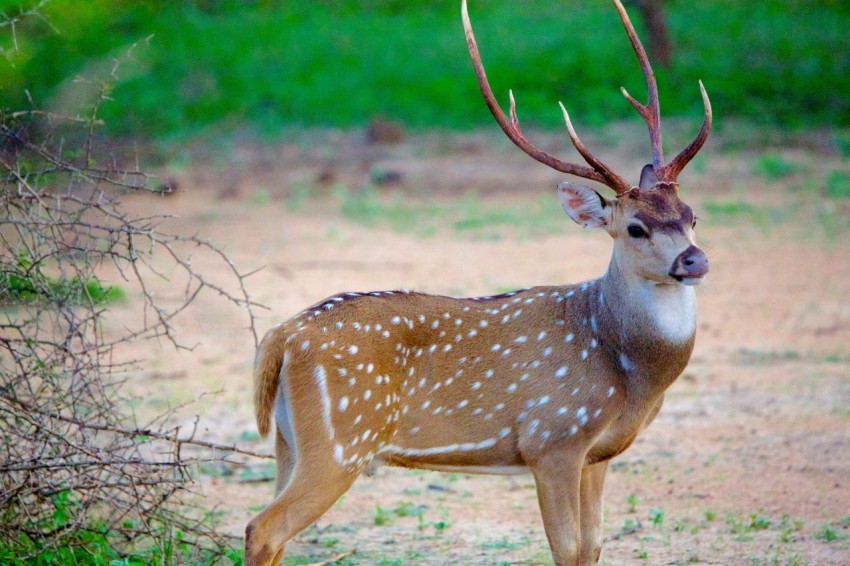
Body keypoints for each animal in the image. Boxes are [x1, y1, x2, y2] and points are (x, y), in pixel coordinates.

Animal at [245, 0, 711, 564]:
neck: (625, 367)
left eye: (691, 215)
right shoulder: (552, 438)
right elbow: (567, 549)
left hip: (289, 442)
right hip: (340, 440)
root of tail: (281, 337)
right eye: (635, 228)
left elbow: (593, 547)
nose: (694, 260)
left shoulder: (598, 454)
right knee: (263, 528)